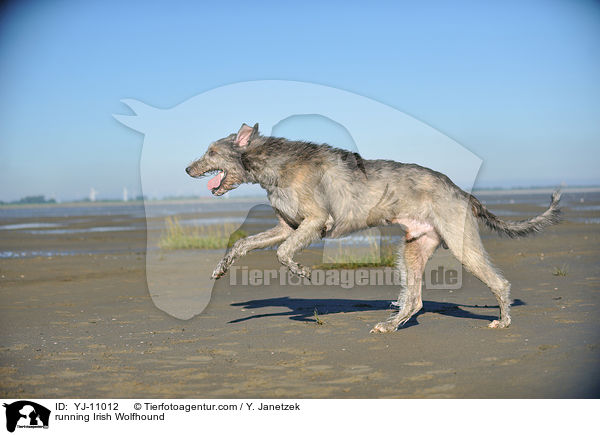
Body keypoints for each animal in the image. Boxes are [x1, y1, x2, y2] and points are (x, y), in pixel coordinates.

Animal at [185, 123, 560, 334]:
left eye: (211, 151)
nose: (188, 169)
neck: (274, 163)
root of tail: (464, 193)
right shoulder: (286, 225)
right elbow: (244, 243)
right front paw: (220, 269)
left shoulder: (315, 221)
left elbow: (282, 252)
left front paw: (298, 269)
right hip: (412, 248)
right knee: (414, 301)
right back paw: (390, 325)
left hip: (461, 243)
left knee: (499, 282)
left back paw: (504, 321)